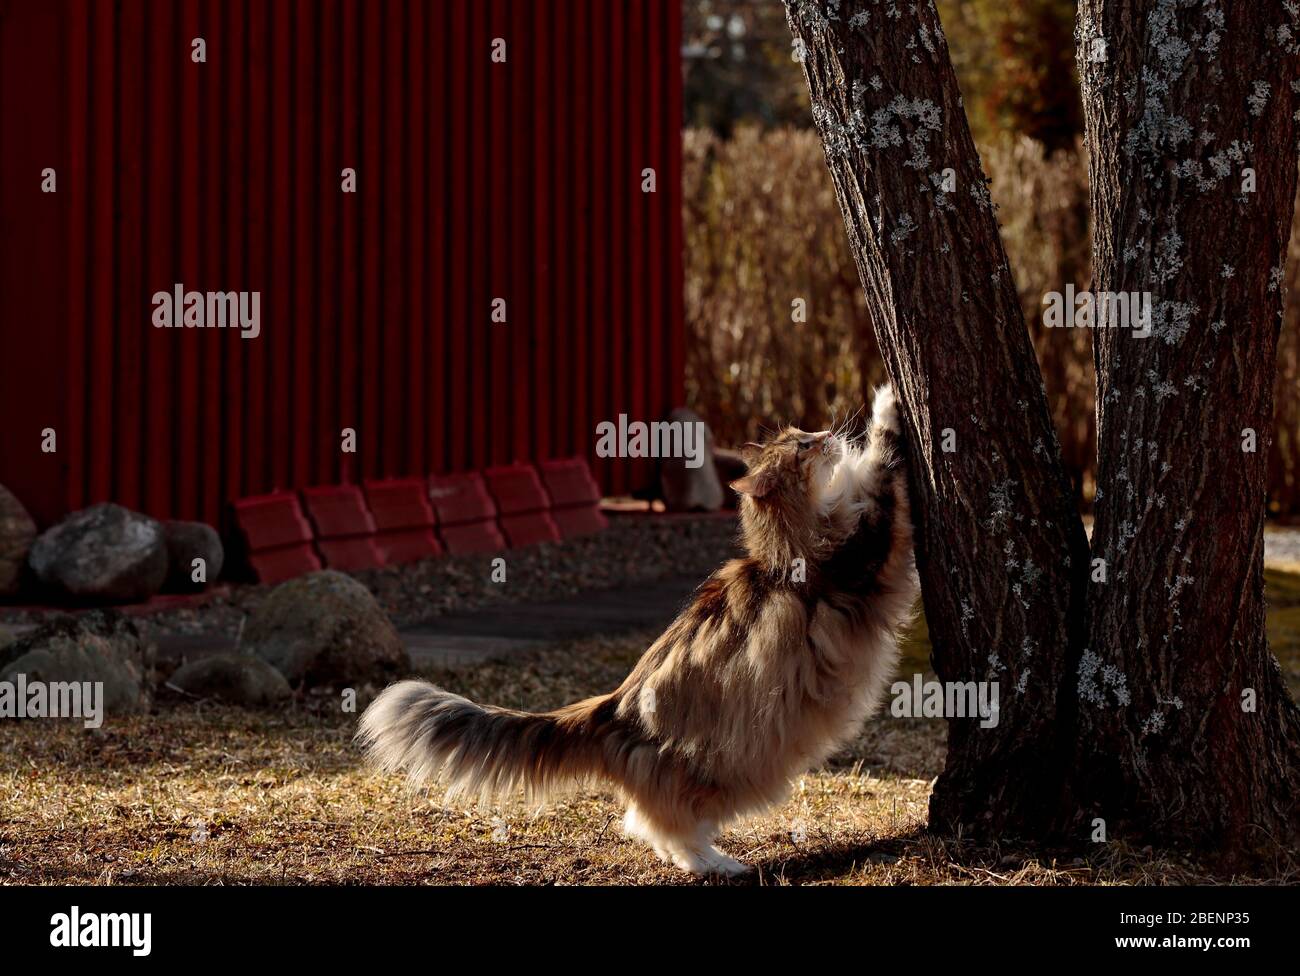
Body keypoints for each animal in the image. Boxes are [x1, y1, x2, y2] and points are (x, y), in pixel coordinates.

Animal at [356, 384, 920, 878]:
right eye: (804, 445)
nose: (825, 432)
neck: (780, 556)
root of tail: (610, 707)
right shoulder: (866, 548)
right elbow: (882, 466)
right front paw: (888, 401)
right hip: (709, 776)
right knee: (664, 829)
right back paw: (720, 864)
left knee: (651, 829)